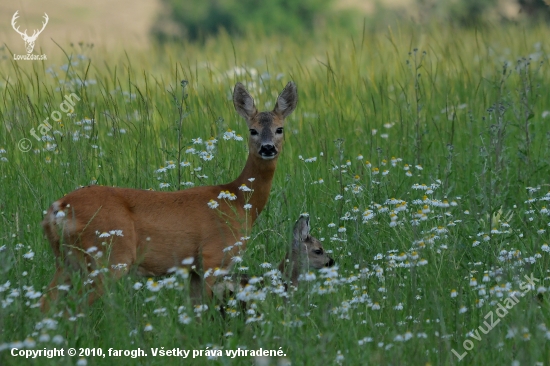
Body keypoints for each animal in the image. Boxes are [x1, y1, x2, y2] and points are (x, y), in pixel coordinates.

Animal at [39, 81, 300, 312]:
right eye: (252, 130)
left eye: (280, 129)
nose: (268, 148)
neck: (237, 200)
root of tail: (58, 207)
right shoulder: (212, 256)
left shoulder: (193, 269)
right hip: (109, 256)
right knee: (77, 305)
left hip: (66, 260)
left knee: (46, 302)